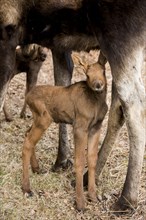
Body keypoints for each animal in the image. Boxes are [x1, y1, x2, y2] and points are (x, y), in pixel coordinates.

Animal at [22, 54, 108, 211]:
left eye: (103, 71)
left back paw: (36, 168)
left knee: (27, 134)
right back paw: (27, 188)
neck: (97, 102)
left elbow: (92, 159)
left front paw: (93, 196)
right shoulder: (79, 126)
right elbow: (79, 161)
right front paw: (80, 203)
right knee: (28, 143)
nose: (98, 85)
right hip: (44, 118)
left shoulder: (96, 127)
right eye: (87, 74)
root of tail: (28, 96)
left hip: (37, 118)